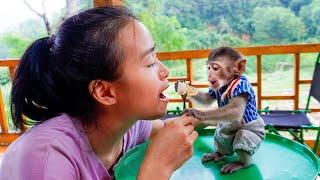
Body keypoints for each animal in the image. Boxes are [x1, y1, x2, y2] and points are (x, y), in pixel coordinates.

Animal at [176, 46, 264, 174]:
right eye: (208, 68)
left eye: (215, 68)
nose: (209, 75)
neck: (227, 83)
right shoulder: (215, 89)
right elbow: (207, 98)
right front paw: (183, 88)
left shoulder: (241, 86)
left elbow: (236, 110)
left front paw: (197, 113)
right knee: (221, 138)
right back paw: (218, 154)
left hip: (257, 132)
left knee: (243, 136)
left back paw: (241, 163)